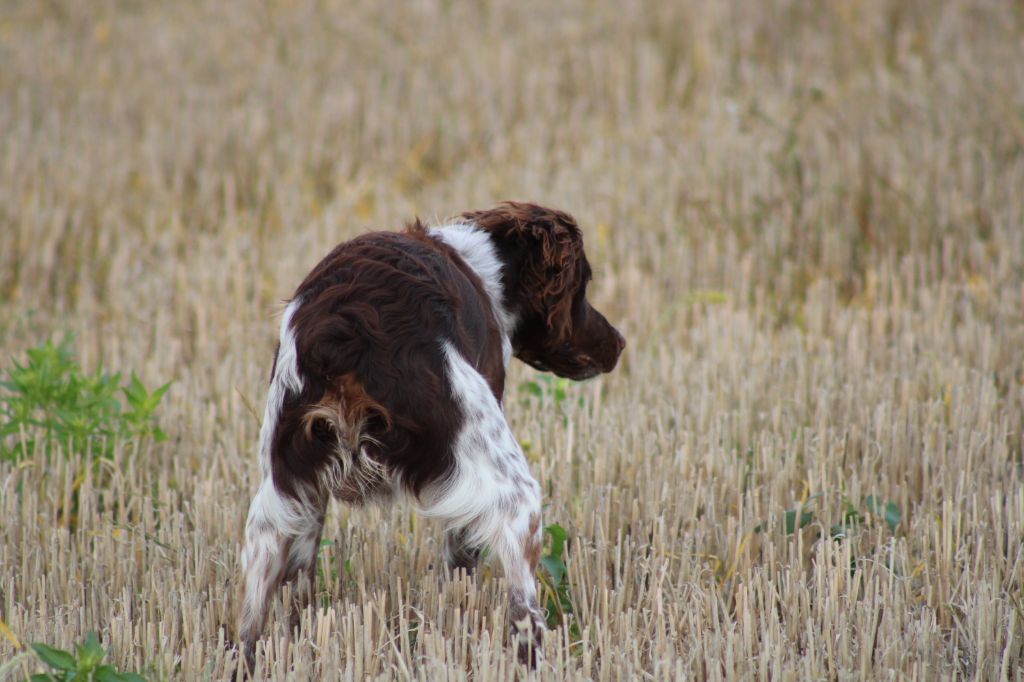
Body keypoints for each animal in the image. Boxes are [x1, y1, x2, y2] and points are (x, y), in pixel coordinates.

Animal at [237, 200, 622, 663]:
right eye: (582, 286)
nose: (618, 344)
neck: (482, 265)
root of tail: (346, 327)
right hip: (514, 492)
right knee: (524, 611)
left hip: (280, 502)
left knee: (253, 621)